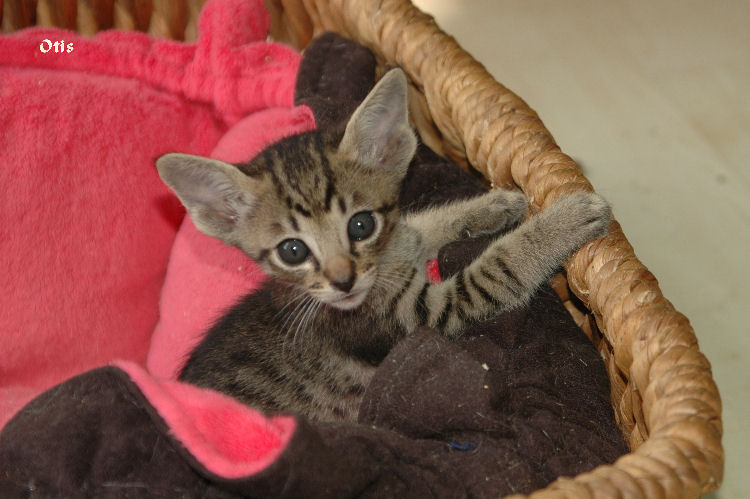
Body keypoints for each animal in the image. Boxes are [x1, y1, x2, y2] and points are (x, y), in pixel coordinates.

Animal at [156, 68, 612, 422]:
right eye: (292, 251)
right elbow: (498, 268)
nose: (343, 281)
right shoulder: (424, 316)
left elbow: (420, 228)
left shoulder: (398, 244)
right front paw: (565, 220)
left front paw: (494, 205)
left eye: (361, 225)